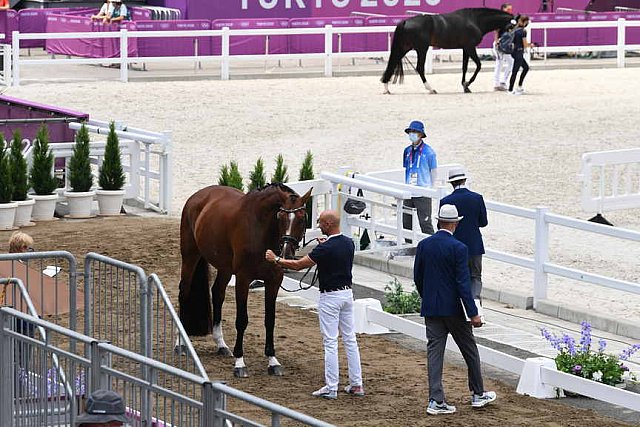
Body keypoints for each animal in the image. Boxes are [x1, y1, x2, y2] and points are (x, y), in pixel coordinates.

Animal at [178, 184, 312, 378]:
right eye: (280, 217)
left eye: (302, 219)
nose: (286, 254)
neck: (261, 230)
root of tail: (198, 195)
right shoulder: (243, 278)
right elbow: (242, 320)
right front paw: (240, 363)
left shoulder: (273, 281)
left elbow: (270, 320)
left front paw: (273, 361)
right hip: (190, 256)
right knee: (184, 293)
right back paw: (180, 344)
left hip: (225, 268)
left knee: (217, 294)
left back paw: (221, 345)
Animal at [380, 7, 516, 94]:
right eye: (513, 27)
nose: (504, 44)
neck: (474, 20)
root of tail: (406, 21)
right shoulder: (470, 47)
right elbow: (478, 65)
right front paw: (467, 84)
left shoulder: (465, 49)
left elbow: (464, 67)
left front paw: (465, 86)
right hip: (421, 49)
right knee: (419, 68)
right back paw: (431, 89)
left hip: (405, 47)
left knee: (392, 64)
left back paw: (386, 88)